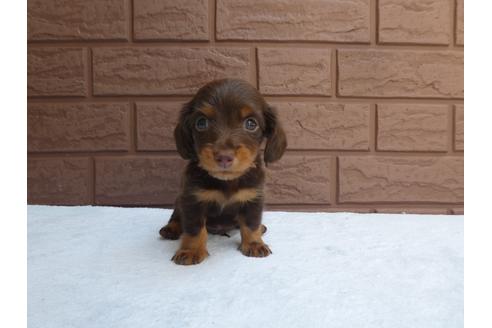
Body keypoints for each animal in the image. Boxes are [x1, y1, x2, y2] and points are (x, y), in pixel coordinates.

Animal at [158, 78, 288, 266]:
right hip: (179, 200)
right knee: (176, 216)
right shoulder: (192, 200)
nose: (224, 157)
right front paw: (191, 250)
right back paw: (171, 229)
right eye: (201, 122)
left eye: (251, 123)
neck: (227, 181)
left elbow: (251, 224)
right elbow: (194, 229)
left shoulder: (253, 199)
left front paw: (254, 244)